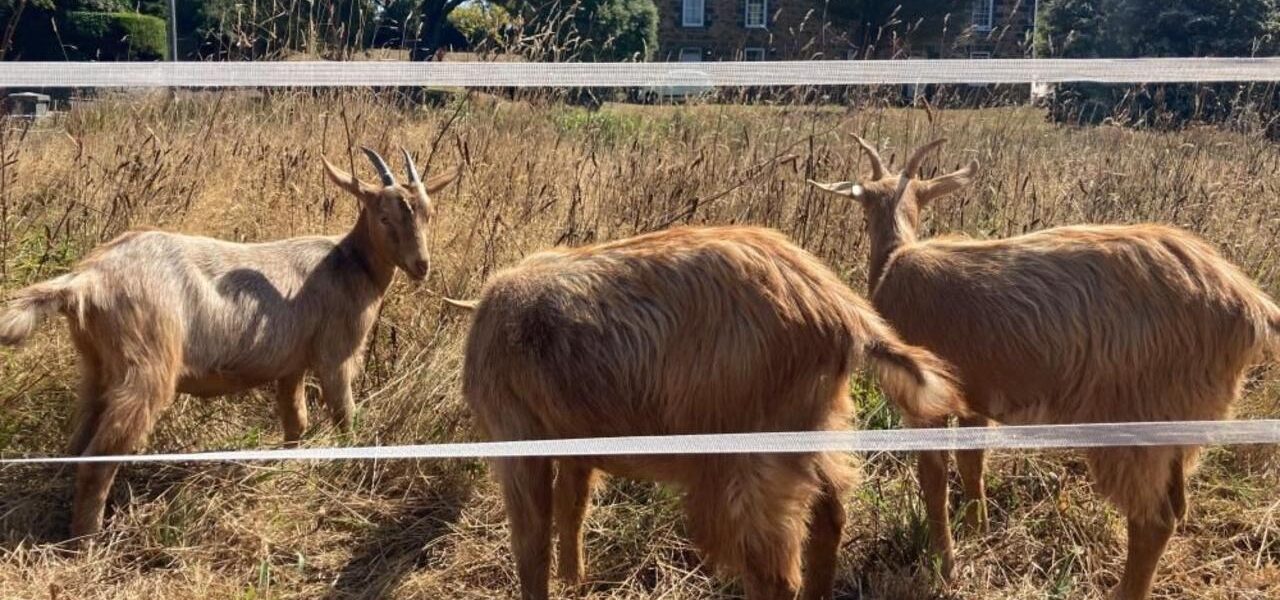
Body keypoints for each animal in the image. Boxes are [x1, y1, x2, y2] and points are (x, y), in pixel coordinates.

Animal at [0, 147, 459, 538]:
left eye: (429, 213)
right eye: (382, 216)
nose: (421, 266)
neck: (349, 263)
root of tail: (87, 279)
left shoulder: (291, 364)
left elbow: (296, 421)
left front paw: (286, 468)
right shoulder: (335, 355)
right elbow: (346, 417)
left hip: (96, 364)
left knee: (79, 443)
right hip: (147, 365)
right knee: (101, 456)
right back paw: (87, 542)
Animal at [453, 225, 964, 600]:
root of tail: (842, 311)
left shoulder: (516, 436)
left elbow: (532, 540)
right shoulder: (575, 442)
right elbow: (571, 507)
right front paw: (575, 582)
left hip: (747, 456)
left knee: (776, 572)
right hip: (819, 423)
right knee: (829, 516)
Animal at [810, 137, 1280, 600]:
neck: (895, 260)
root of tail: (1250, 304)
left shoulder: (923, 403)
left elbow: (934, 480)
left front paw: (946, 565)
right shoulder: (976, 397)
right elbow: (971, 461)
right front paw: (978, 530)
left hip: (1137, 420)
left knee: (1153, 520)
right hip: (1181, 426)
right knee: (1177, 507)